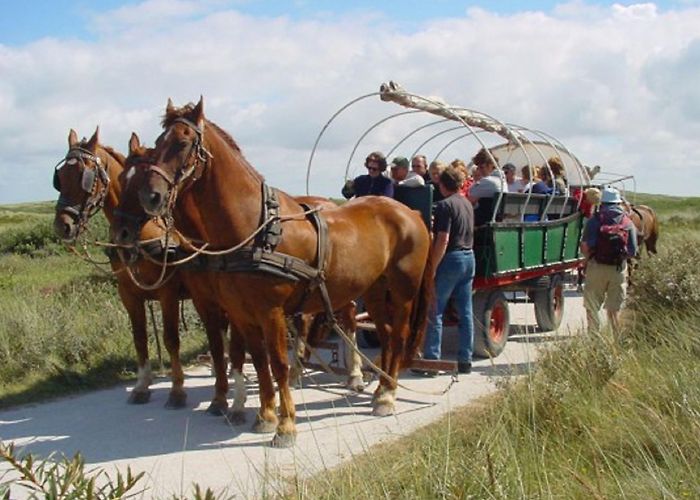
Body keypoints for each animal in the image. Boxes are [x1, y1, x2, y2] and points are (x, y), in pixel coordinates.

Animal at [55, 128, 230, 410]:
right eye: (60, 177)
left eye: (85, 176)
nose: (62, 225)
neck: (143, 233)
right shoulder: (129, 294)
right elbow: (139, 338)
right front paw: (142, 385)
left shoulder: (168, 293)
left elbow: (171, 339)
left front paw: (177, 390)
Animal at [119, 99, 432, 448]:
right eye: (158, 144)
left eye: (183, 143)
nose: (152, 197)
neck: (255, 231)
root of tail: (409, 212)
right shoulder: (242, 313)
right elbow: (258, 361)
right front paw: (265, 416)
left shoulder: (271, 312)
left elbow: (278, 364)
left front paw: (286, 426)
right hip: (375, 289)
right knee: (387, 334)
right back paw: (380, 391)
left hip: (403, 289)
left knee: (400, 333)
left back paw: (388, 394)